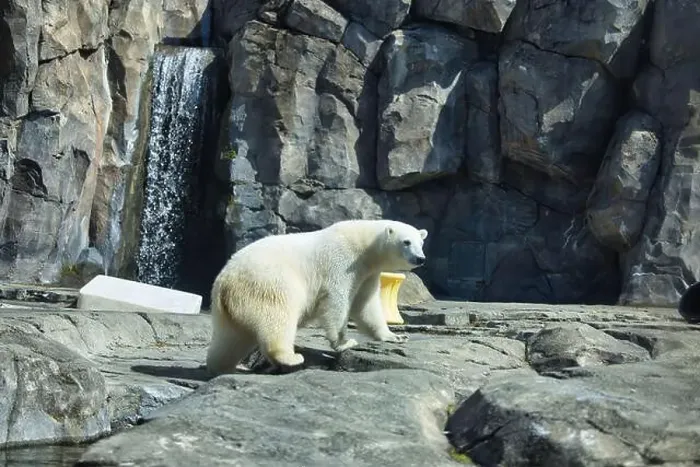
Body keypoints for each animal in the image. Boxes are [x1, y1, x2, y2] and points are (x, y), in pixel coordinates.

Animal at [205, 219, 428, 376]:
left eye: (421, 242)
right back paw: (291, 357)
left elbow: (365, 305)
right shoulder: (342, 263)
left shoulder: (367, 273)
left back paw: (223, 367)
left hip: (228, 308)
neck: (363, 244)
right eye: (406, 242)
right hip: (268, 285)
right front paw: (344, 343)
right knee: (277, 318)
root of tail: (226, 281)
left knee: (230, 340)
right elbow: (336, 300)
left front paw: (394, 336)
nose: (420, 258)